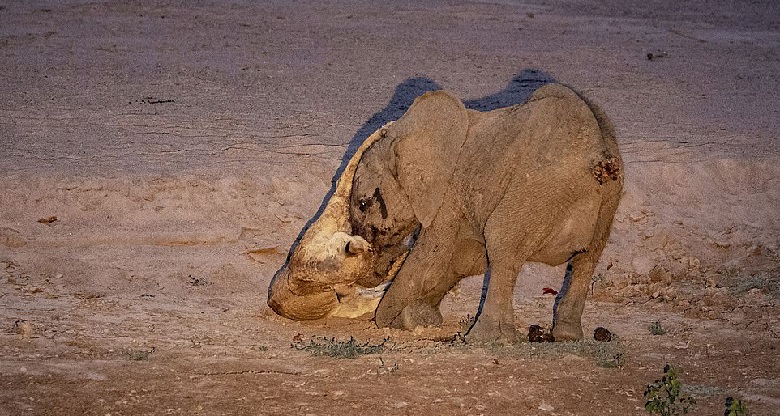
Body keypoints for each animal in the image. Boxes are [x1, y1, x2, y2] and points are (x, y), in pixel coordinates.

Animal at [272, 83, 624, 342]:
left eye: (363, 203)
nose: (378, 264)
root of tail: (599, 158)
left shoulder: (449, 193)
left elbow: (435, 255)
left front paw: (391, 320)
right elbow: (464, 258)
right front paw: (417, 319)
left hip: (536, 190)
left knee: (504, 250)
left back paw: (485, 339)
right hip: (608, 198)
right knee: (587, 258)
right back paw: (567, 337)